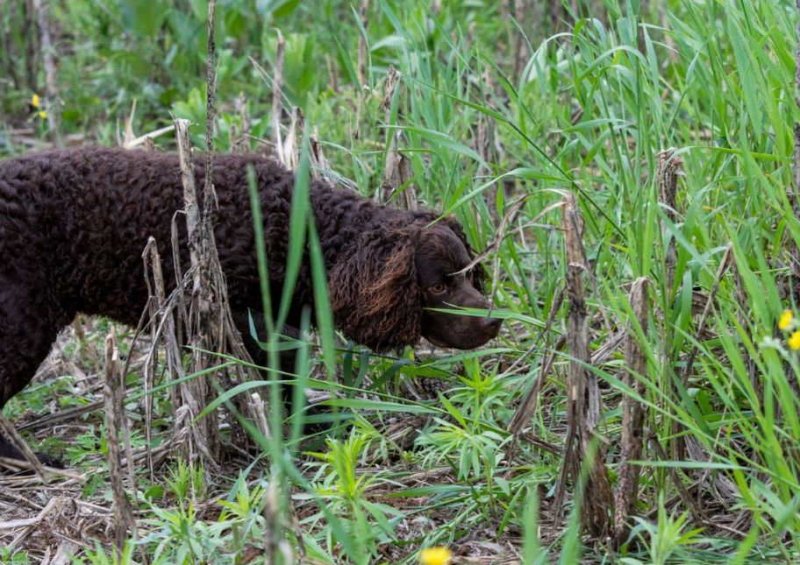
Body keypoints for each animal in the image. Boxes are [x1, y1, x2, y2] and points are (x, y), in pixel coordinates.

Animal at [0, 148, 500, 460]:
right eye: (437, 288)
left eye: (469, 272)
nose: (494, 322)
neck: (304, 232)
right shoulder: (239, 320)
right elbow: (287, 375)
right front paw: (312, 429)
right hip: (22, 325)